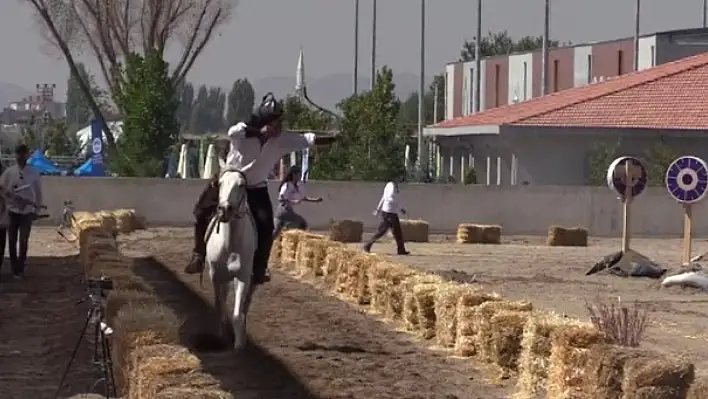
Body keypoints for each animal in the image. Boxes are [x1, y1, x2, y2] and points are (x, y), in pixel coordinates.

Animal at [205, 168, 258, 350]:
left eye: (241, 185)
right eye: (220, 183)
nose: (224, 209)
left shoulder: (242, 278)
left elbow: (237, 314)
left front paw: (239, 345)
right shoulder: (215, 275)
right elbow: (219, 307)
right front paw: (223, 335)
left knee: (244, 307)